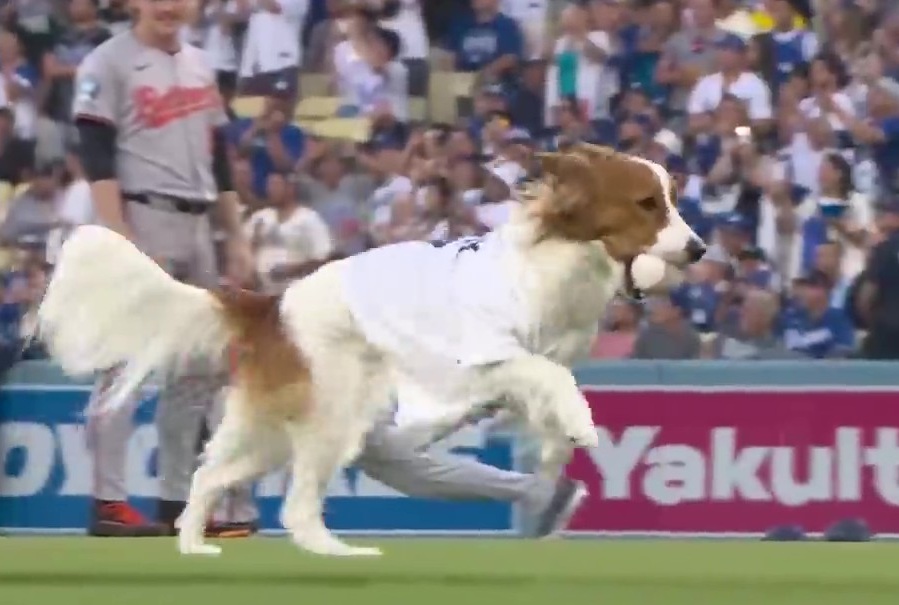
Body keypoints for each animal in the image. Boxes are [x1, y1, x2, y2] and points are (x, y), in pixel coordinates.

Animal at [35, 144, 705, 558]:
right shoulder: (476, 360)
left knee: (211, 474)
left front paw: (554, 459)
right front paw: (580, 426)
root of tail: (273, 303)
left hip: (284, 429)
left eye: (670, 199)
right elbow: (546, 375)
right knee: (297, 507)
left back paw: (196, 544)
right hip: (336, 413)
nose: (699, 249)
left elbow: (547, 395)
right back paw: (340, 553)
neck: (555, 259)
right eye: (648, 203)